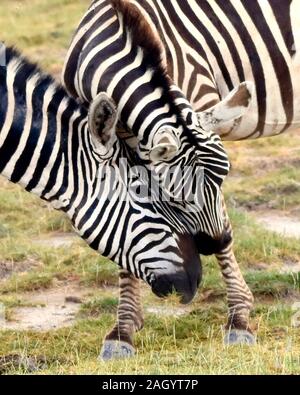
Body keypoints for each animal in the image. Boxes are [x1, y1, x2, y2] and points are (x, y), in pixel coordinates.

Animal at [61, 0, 258, 356]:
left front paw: (238, 318)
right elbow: (126, 233)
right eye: (175, 197)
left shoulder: (199, 97)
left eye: (224, 177)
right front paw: (123, 330)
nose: (217, 242)